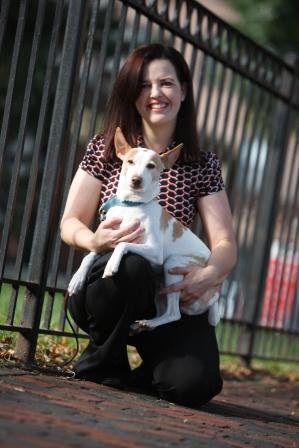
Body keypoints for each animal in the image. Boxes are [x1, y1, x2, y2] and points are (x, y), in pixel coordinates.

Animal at [68, 127, 220, 332]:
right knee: (165, 311)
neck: (131, 205)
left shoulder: (155, 252)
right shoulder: (107, 238)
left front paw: (111, 264)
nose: (136, 180)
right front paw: (77, 278)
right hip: (160, 287)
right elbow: (91, 254)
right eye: (130, 162)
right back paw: (147, 323)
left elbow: (122, 244)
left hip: (173, 264)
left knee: (174, 314)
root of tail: (215, 295)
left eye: (151, 166)